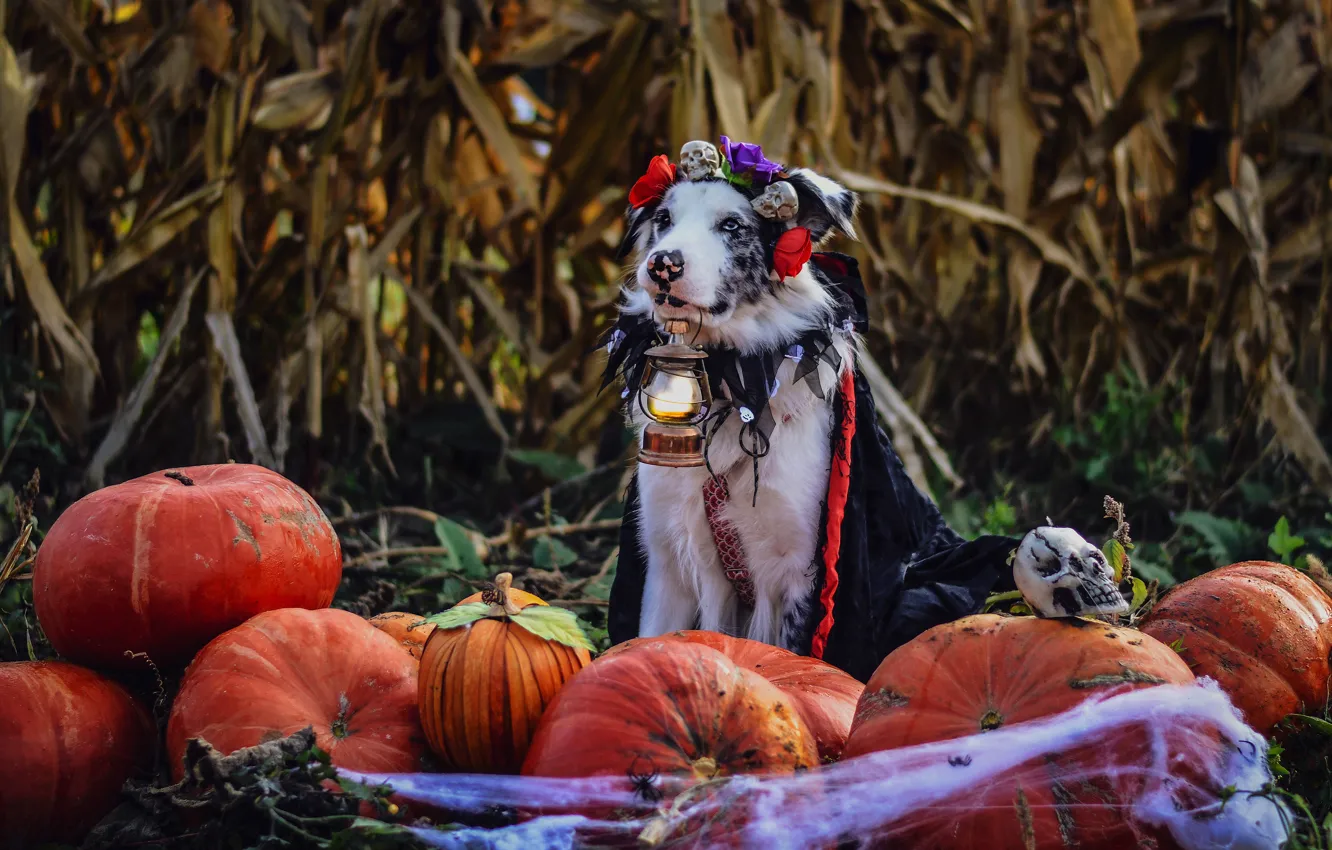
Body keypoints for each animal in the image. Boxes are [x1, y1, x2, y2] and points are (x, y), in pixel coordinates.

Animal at [604, 141, 1124, 687]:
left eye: (732, 226)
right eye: (664, 219)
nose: (662, 265)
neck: (737, 381)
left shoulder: (798, 572)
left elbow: (788, 663)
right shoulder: (664, 564)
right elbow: (646, 645)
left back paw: (1072, 573)